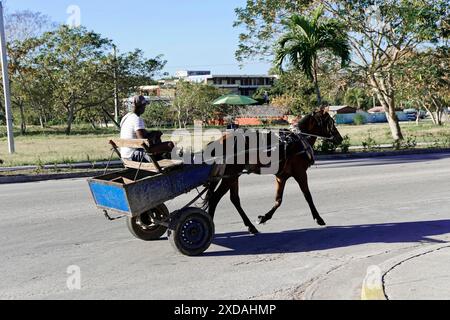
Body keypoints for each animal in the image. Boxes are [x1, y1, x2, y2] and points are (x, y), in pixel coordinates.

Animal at [202, 110, 342, 235]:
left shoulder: (281, 177)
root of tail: (220, 141)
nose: (339, 138)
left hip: (233, 175)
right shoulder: (300, 173)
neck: (298, 140)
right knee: (215, 198)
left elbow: (278, 200)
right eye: (331, 122)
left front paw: (264, 217)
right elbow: (307, 195)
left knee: (234, 199)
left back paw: (250, 226)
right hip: (230, 176)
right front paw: (318, 218)